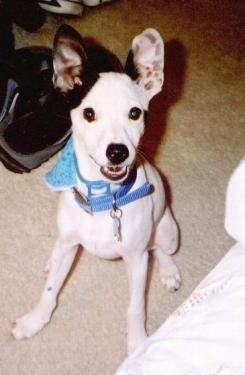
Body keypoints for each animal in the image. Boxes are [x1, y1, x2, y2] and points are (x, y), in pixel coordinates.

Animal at [12, 25, 181, 354]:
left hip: (168, 232)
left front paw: (137, 344)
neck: (104, 196)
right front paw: (34, 320)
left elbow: (135, 307)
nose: (117, 152)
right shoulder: (69, 244)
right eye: (89, 114)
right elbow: (49, 290)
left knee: (160, 250)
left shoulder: (137, 260)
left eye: (135, 113)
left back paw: (169, 271)